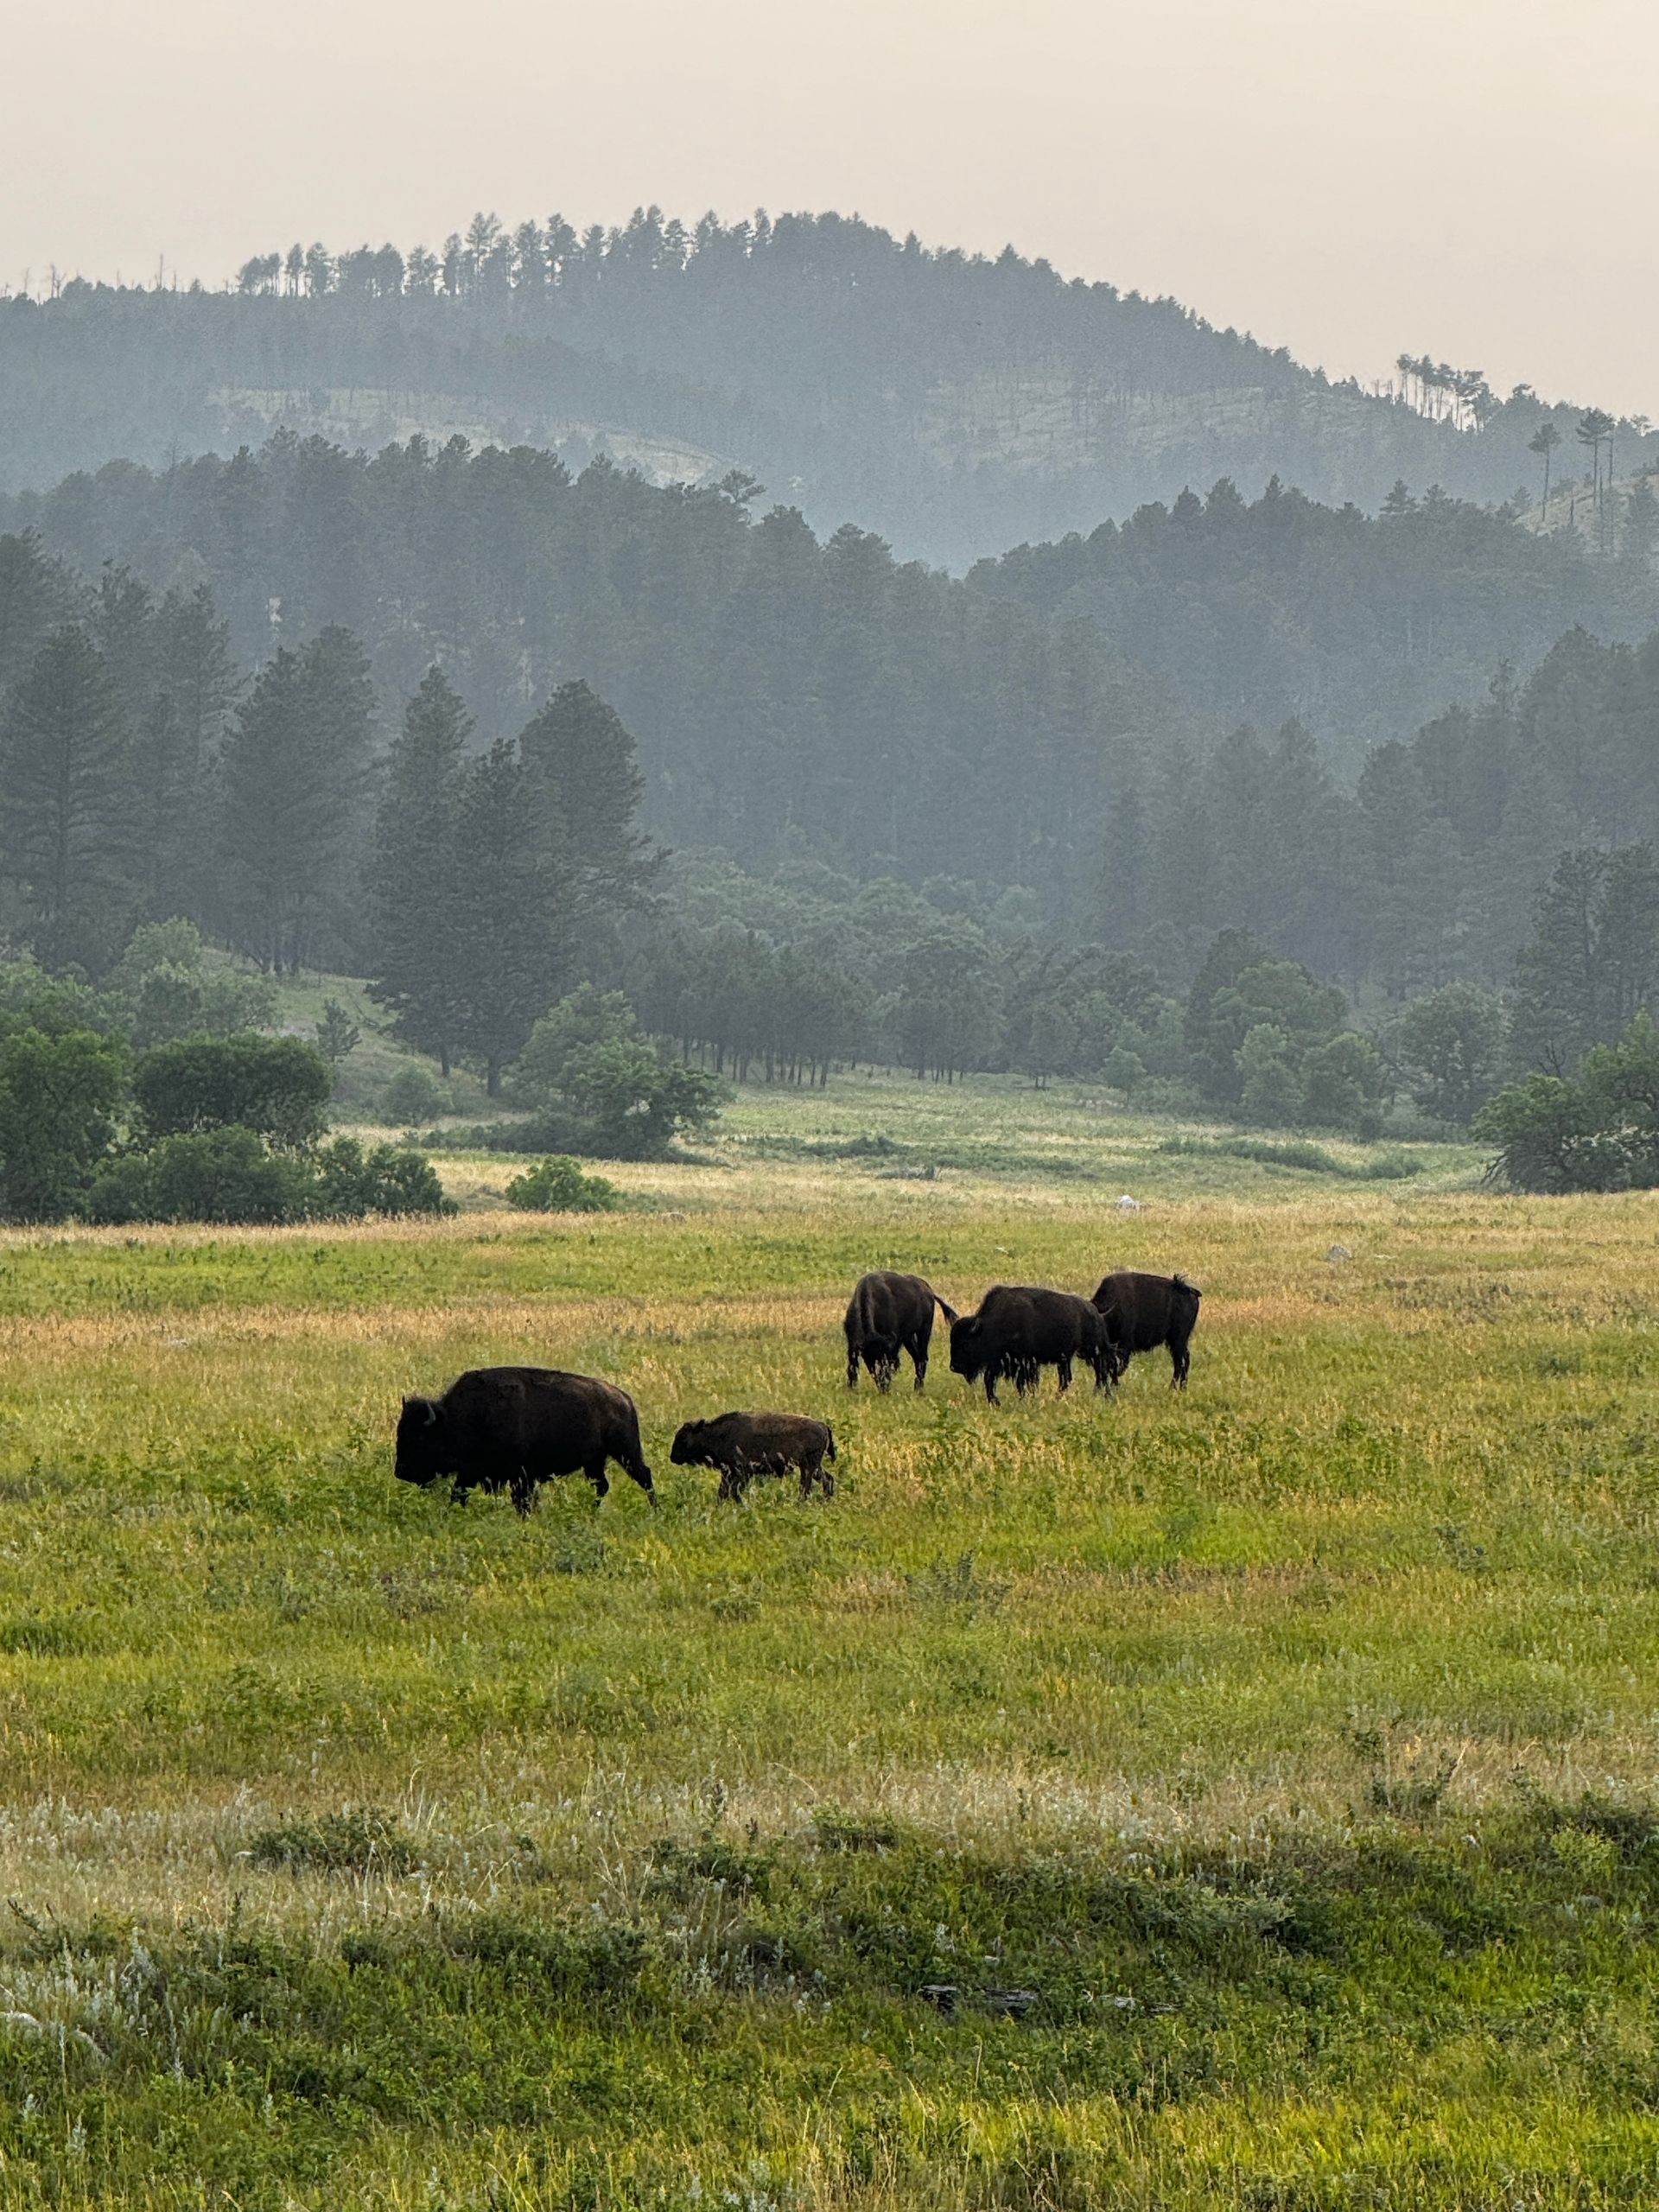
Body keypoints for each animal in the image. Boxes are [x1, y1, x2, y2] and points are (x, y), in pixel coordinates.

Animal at [395, 1367, 655, 1514]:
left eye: (419, 1437)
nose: (400, 1471)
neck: (457, 1419)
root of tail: (624, 1399)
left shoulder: (520, 1475)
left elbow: (522, 1500)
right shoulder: (472, 1471)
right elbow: (459, 1493)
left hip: (625, 1452)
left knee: (644, 1476)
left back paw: (655, 1511)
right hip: (595, 1462)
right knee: (602, 1485)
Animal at [670, 1412, 837, 1501]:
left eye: (683, 1437)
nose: (672, 1457)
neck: (717, 1434)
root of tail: (823, 1426)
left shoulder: (742, 1473)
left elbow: (734, 1492)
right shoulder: (728, 1473)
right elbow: (723, 1492)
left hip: (808, 1467)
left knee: (807, 1487)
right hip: (812, 1467)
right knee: (826, 1479)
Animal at [844, 1270, 959, 1391]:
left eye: (885, 1359)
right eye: (871, 1359)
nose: (884, 1386)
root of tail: (928, 1290)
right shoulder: (852, 1343)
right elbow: (852, 1366)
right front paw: (851, 1388)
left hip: (924, 1331)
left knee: (923, 1358)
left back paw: (919, 1389)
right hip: (909, 1338)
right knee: (917, 1358)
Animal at [949, 1285, 1115, 1404]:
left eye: (965, 1343)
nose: (954, 1367)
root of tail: (1096, 1312)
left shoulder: (1024, 1362)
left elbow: (1023, 1383)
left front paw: (1024, 1399)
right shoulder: (999, 1362)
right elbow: (990, 1379)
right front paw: (995, 1402)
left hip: (1093, 1352)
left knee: (1101, 1372)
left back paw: (1102, 1395)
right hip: (1066, 1359)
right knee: (1068, 1379)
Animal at [1091, 1271, 1202, 1388]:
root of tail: (1189, 1291)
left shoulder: (1124, 1347)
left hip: (1177, 1340)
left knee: (1180, 1363)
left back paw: (1173, 1387)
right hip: (1177, 1341)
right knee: (1183, 1361)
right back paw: (1181, 1387)